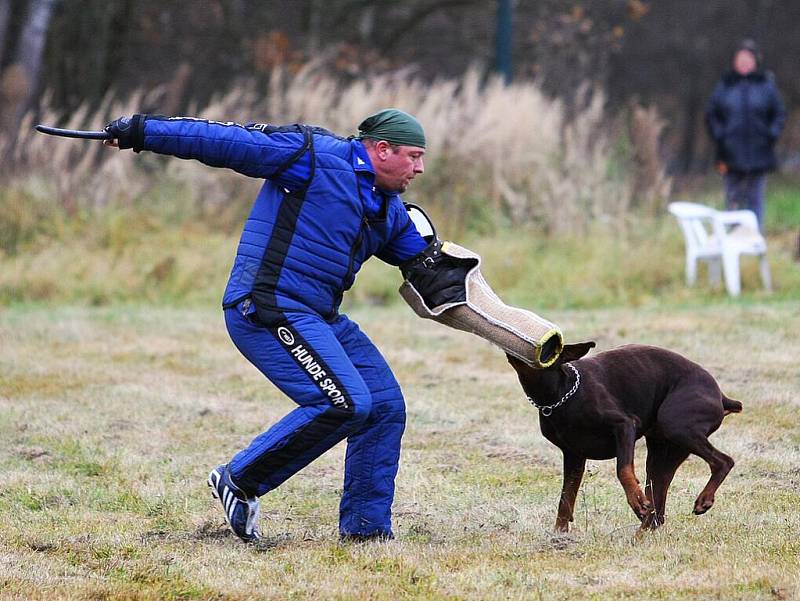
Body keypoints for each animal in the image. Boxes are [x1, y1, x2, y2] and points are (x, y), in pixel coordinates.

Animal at [510, 342, 740, 528]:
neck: (561, 393)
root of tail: (721, 396)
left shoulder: (625, 426)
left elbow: (623, 469)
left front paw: (636, 499)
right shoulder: (573, 456)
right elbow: (565, 500)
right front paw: (559, 536)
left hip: (677, 424)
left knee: (723, 461)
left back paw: (704, 500)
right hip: (663, 453)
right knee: (657, 511)